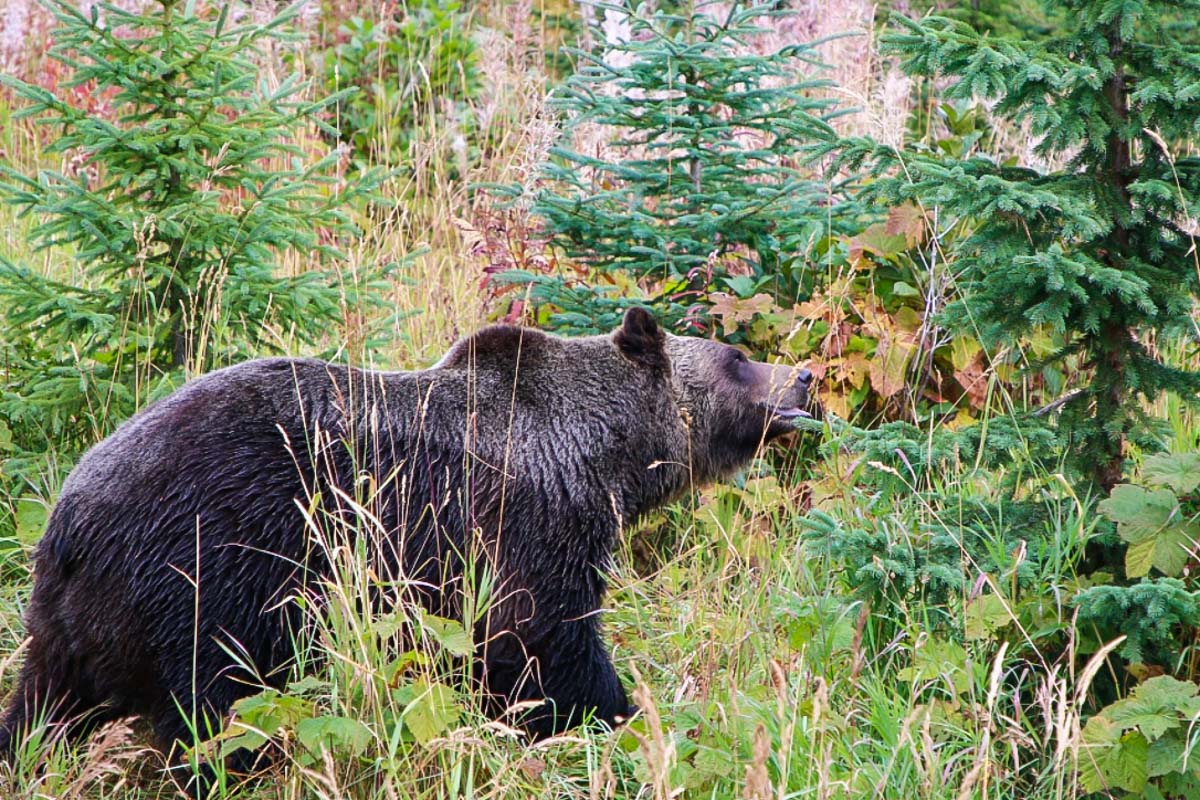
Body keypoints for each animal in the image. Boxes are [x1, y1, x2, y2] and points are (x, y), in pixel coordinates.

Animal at [0, 308, 811, 769]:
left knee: (41, 708)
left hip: (69, 626)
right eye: (738, 358)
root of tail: (69, 521)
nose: (803, 374)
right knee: (214, 710)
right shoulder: (517, 529)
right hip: (205, 573)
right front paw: (624, 717)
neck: (598, 458)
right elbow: (545, 646)